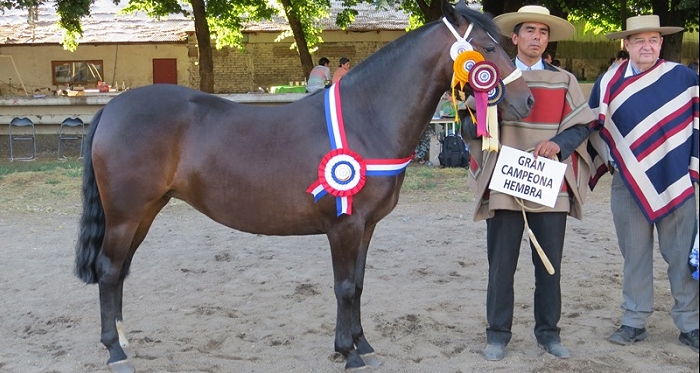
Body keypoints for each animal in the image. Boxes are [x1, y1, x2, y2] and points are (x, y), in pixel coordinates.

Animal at [75, 1, 532, 370]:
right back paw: (115, 352)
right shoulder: (344, 227)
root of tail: (113, 107)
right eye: (489, 49)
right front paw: (348, 353)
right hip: (125, 215)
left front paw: (363, 345)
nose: (526, 102)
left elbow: (358, 285)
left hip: (145, 213)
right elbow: (344, 287)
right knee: (108, 270)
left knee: (119, 271)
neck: (366, 118)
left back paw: (124, 342)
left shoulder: (366, 226)